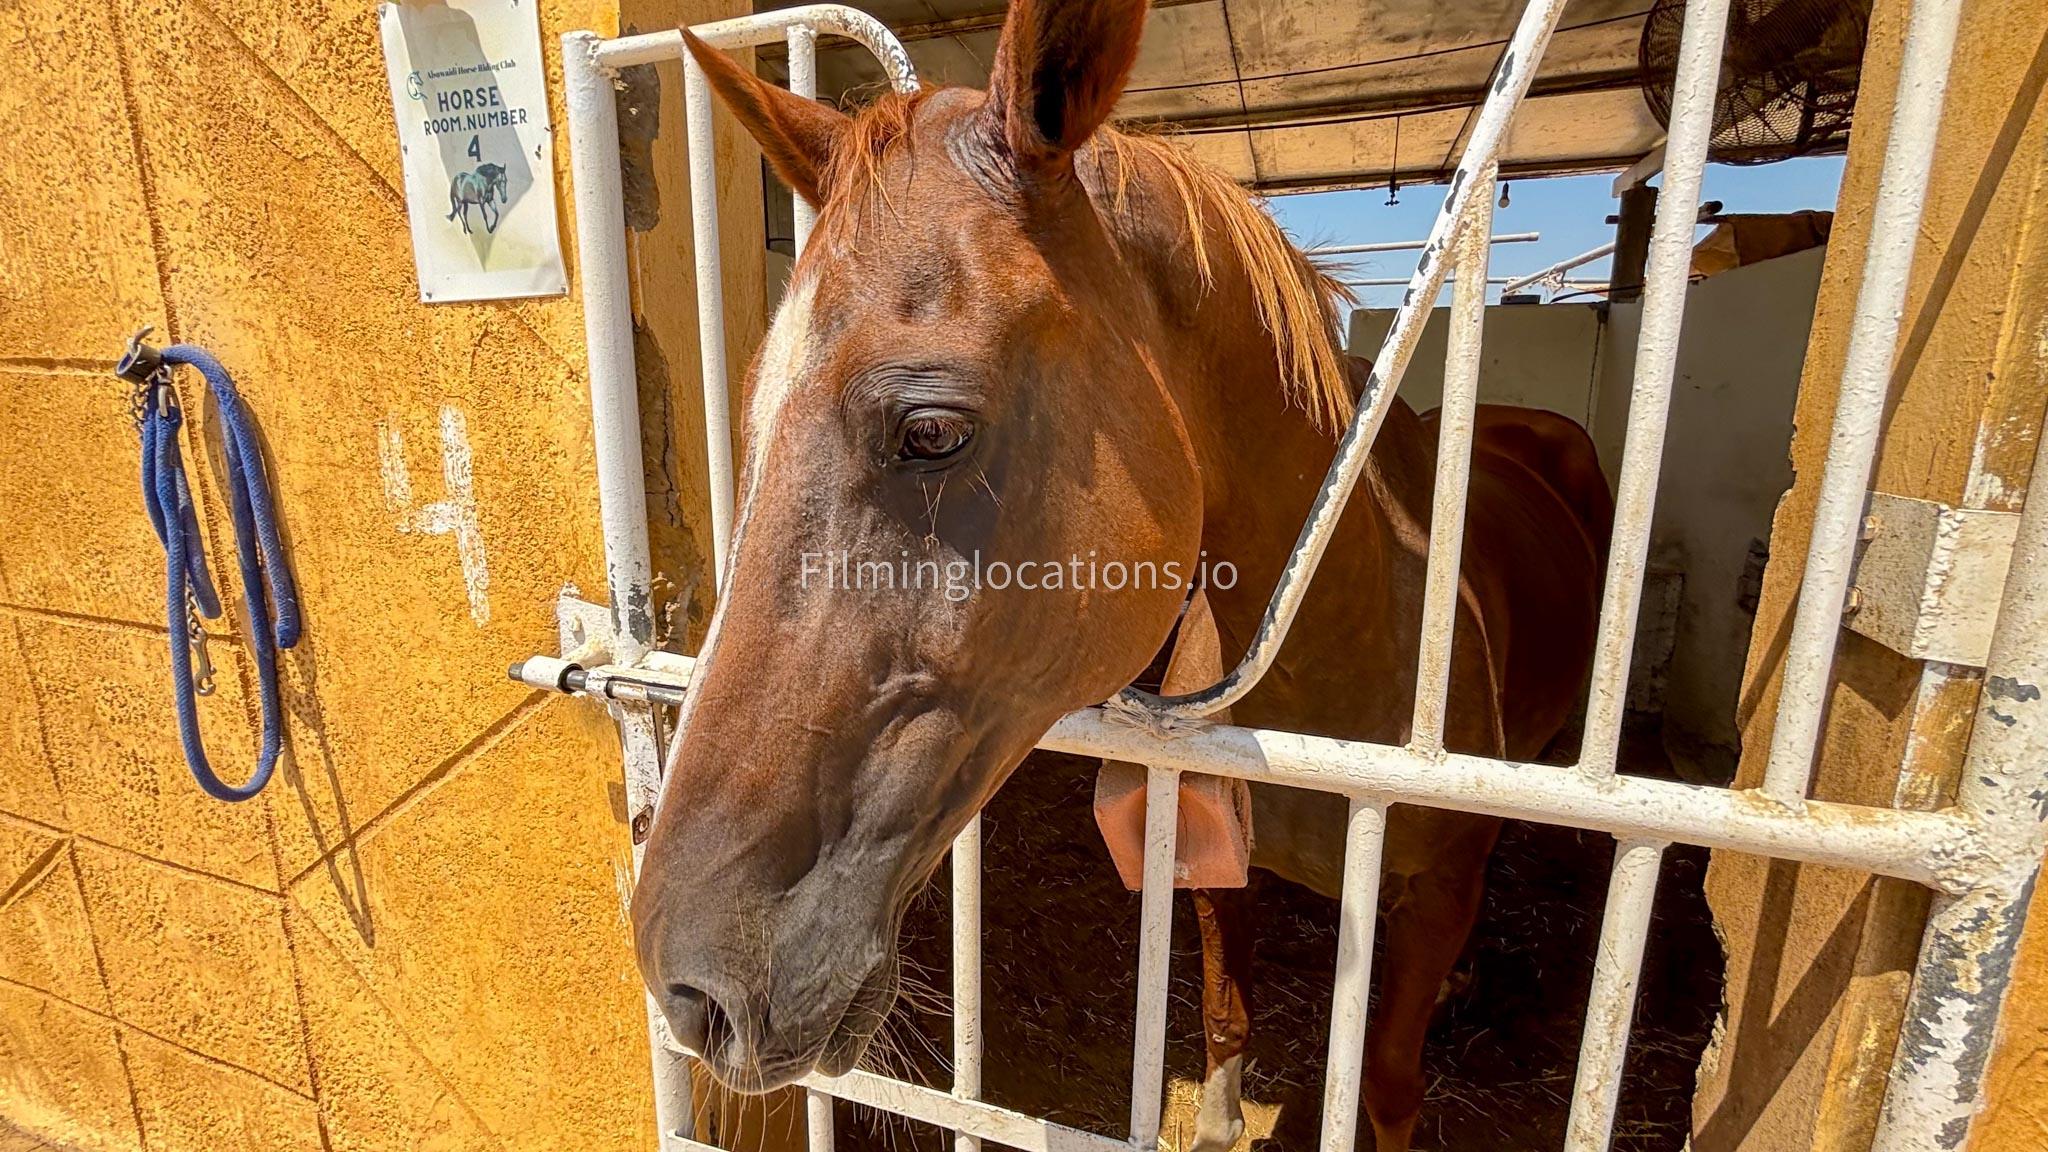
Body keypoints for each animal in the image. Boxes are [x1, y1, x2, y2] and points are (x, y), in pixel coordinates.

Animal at [629, 2, 1609, 1148]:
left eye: (930, 431)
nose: (682, 984)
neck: (1343, 649)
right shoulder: (1215, 864)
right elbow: (1226, 1016)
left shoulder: (1430, 901)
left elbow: (1385, 1088)